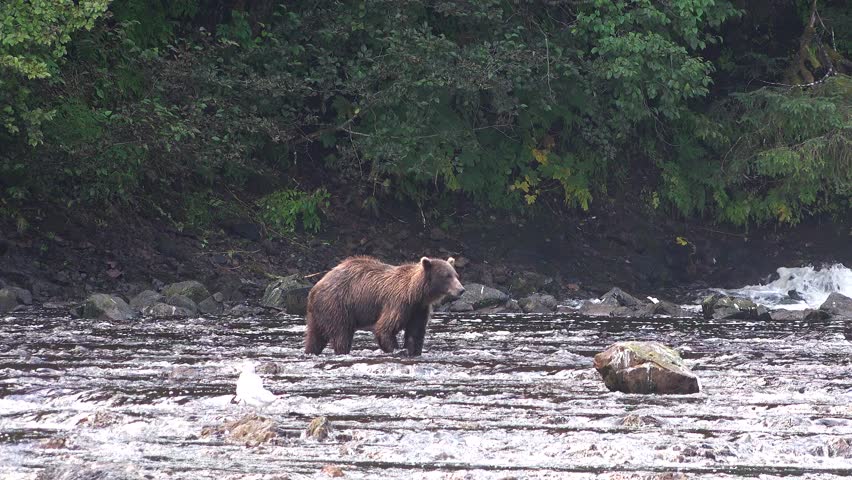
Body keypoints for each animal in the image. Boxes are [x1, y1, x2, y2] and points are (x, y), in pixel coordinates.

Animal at [304, 255, 465, 356]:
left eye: (456, 275)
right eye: (447, 276)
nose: (461, 289)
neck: (416, 293)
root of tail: (315, 287)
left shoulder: (418, 309)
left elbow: (415, 333)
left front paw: (413, 350)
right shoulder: (398, 303)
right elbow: (385, 328)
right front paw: (398, 350)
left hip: (319, 313)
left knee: (315, 337)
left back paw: (310, 351)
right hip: (337, 306)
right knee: (341, 335)